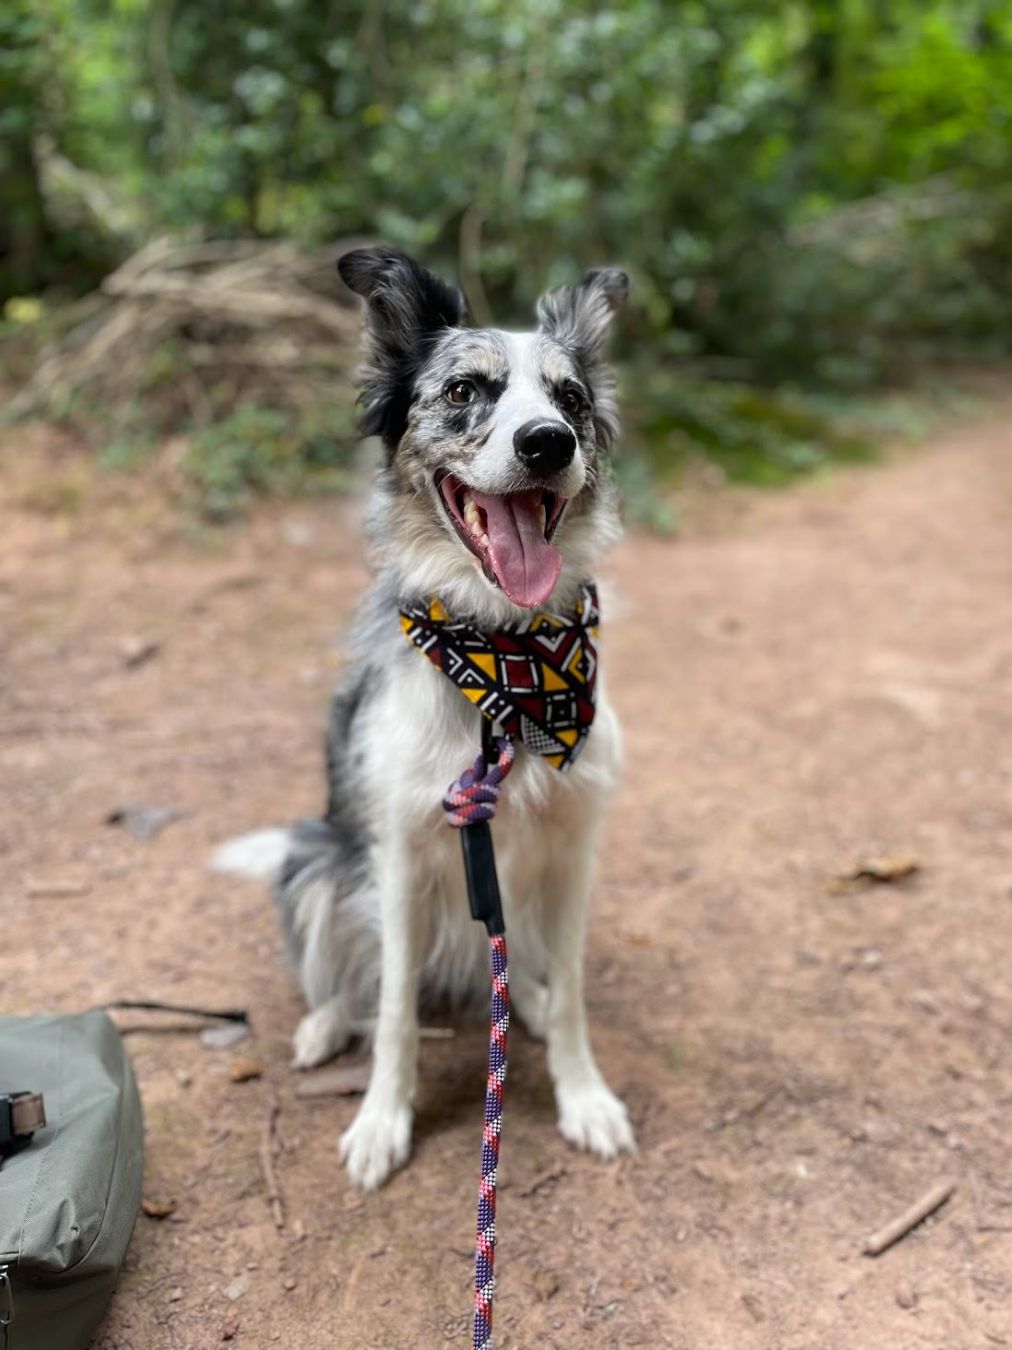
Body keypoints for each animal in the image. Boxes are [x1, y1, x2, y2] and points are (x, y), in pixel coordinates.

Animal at [215, 248, 634, 1188]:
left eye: (570, 398)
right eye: (464, 390)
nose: (547, 442)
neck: (504, 666)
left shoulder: (578, 847)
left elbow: (577, 992)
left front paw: (585, 1095)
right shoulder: (401, 856)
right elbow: (397, 1011)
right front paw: (381, 1121)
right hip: (318, 863)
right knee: (349, 984)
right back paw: (323, 1026)